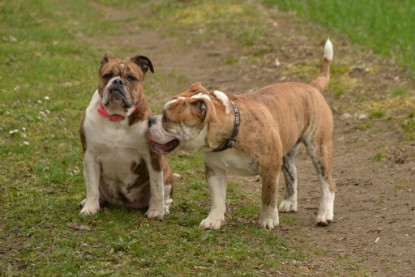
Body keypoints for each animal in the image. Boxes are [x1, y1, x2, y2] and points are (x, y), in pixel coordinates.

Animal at [79, 53, 172, 218]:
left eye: (131, 78)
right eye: (107, 75)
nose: (117, 81)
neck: (117, 116)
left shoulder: (152, 156)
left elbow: (156, 187)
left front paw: (156, 210)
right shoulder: (90, 155)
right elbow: (92, 187)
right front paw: (90, 207)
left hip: (167, 173)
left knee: (165, 193)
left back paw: (164, 207)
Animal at [148, 38, 336, 229]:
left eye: (166, 118)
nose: (150, 120)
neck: (233, 132)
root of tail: (311, 87)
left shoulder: (270, 168)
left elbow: (268, 198)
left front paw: (268, 220)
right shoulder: (215, 170)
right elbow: (217, 199)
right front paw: (213, 220)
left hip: (318, 147)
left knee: (328, 183)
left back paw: (324, 215)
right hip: (286, 152)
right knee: (292, 172)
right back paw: (290, 202)